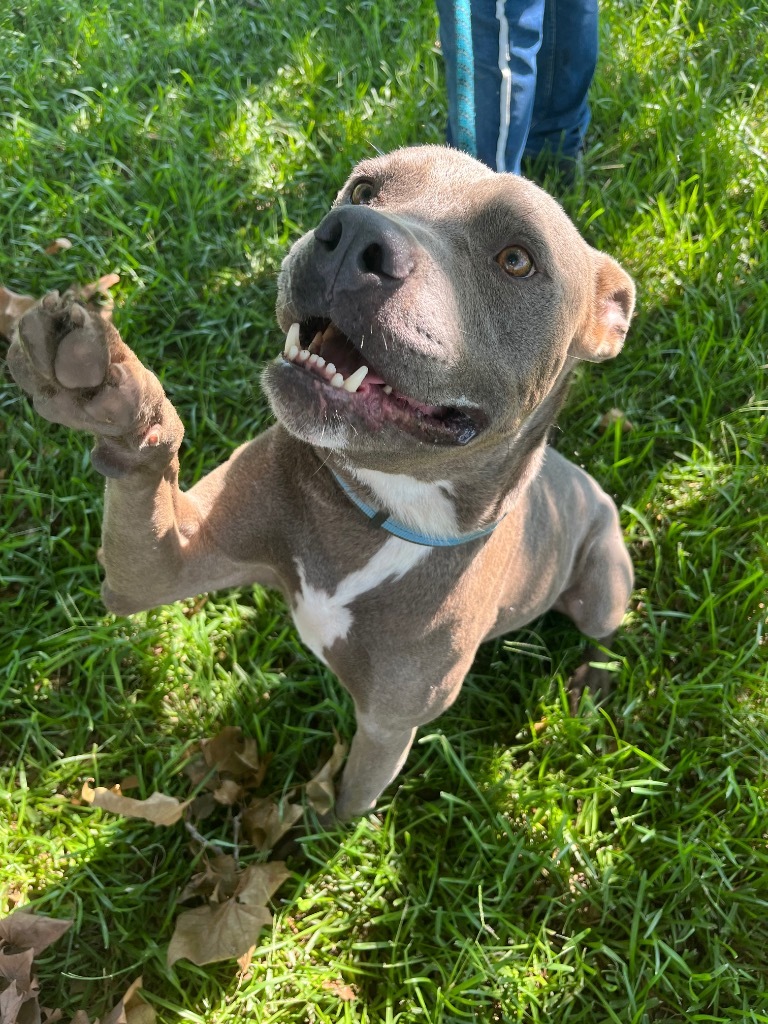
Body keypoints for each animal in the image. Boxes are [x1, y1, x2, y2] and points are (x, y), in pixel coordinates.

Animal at [9, 144, 638, 819]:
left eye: (517, 259)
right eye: (363, 189)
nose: (354, 235)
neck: (385, 510)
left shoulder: (388, 727)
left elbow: (349, 803)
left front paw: (323, 832)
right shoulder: (163, 569)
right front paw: (107, 393)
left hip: (603, 580)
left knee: (604, 631)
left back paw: (593, 685)